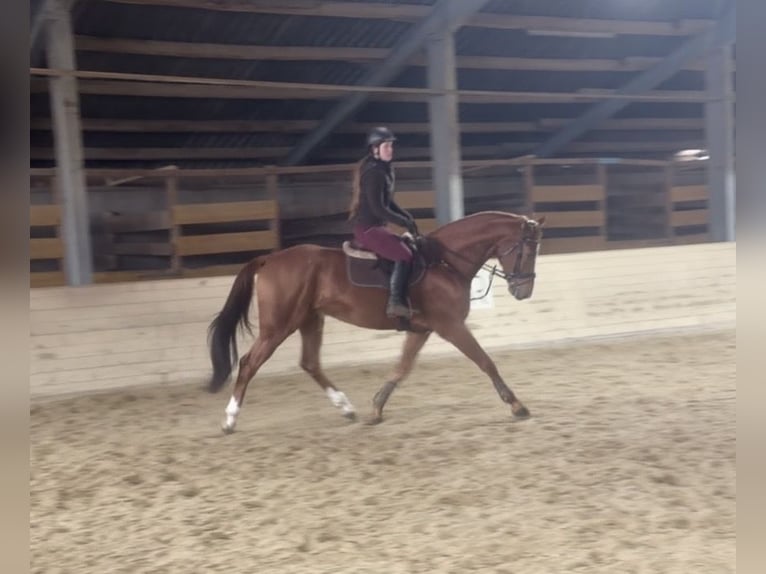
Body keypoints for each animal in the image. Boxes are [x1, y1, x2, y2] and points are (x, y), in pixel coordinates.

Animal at [206, 210, 546, 433]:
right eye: (528, 248)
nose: (524, 291)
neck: (444, 262)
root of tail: (270, 259)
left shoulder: (423, 329)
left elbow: (401, 368)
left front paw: (376, 409)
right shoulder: (450, 326)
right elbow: (485, 361)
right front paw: (517, 406)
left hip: (310, 320)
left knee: (310, 363)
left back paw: (346, 408)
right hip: (278, 325)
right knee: (250, 363)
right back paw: (229, 419)